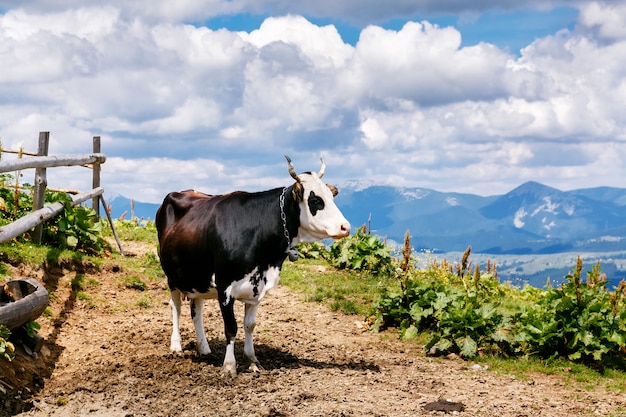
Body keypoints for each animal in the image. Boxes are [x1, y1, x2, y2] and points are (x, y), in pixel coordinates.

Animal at [155, 157, 352, 376]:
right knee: (176, 307)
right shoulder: (225, 287)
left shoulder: (257, 288)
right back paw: (176, 346)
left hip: (197, 276)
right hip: (172, 276)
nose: (346, 227)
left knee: (196, 309)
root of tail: (182, 192)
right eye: (315, 200)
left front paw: (252, 360)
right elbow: (231, 328)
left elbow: (249, 326)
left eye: (331, 197)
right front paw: (229, 366)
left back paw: (204, 347)